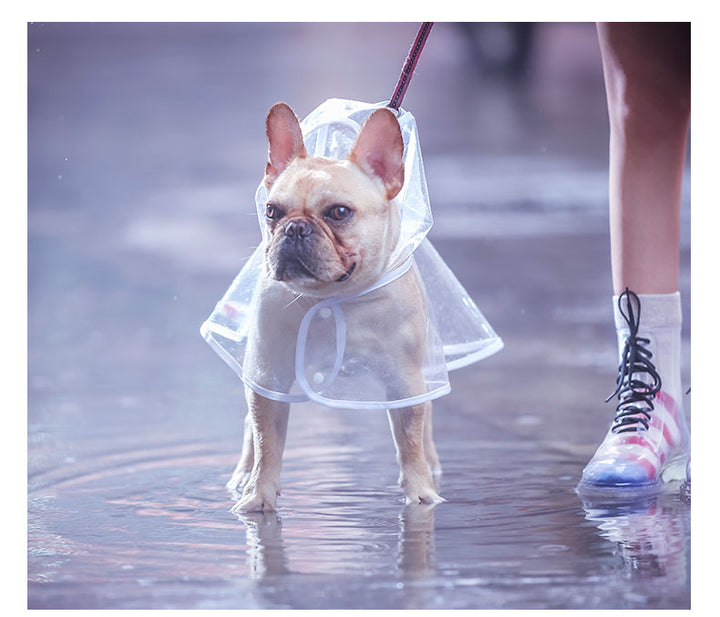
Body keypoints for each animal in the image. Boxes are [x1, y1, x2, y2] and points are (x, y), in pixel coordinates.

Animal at [228, 103, 444, 512]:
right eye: (272, 211)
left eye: (339, 212)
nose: (295, 228)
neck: (332, 297)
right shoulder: (269, 380)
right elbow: (267, 442)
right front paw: (259, 494)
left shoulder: (405, 382)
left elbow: (409, 439)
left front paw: (420, 492)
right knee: (249, 428)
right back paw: (242, 475)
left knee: (425, 427)